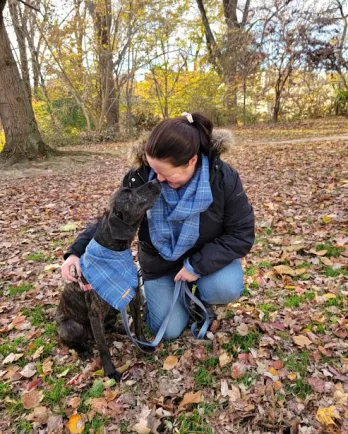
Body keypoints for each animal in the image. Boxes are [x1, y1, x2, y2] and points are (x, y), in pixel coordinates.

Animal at [55, 180, 162, 380]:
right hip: (72, 326)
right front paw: (110, 371)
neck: (114, 251)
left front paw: (142, 344)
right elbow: (103, 347)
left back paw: (121, 330)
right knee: (76, 342)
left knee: (109, 329)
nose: (155, 181)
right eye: (128, 192)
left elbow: (138, 326)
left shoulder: (134, 298)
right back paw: (83, 350)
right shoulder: (95, 314)